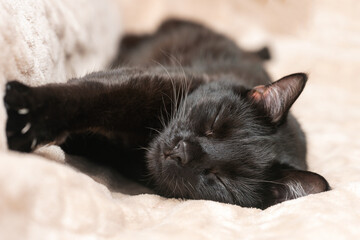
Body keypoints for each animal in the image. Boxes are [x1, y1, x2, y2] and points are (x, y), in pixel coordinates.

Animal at [3, 19, 330, 208]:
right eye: (214, 123)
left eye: (220, 180)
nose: (182, 152)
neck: (142, 137)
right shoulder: (144, 84)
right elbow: (92, 95)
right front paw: (30, 112)